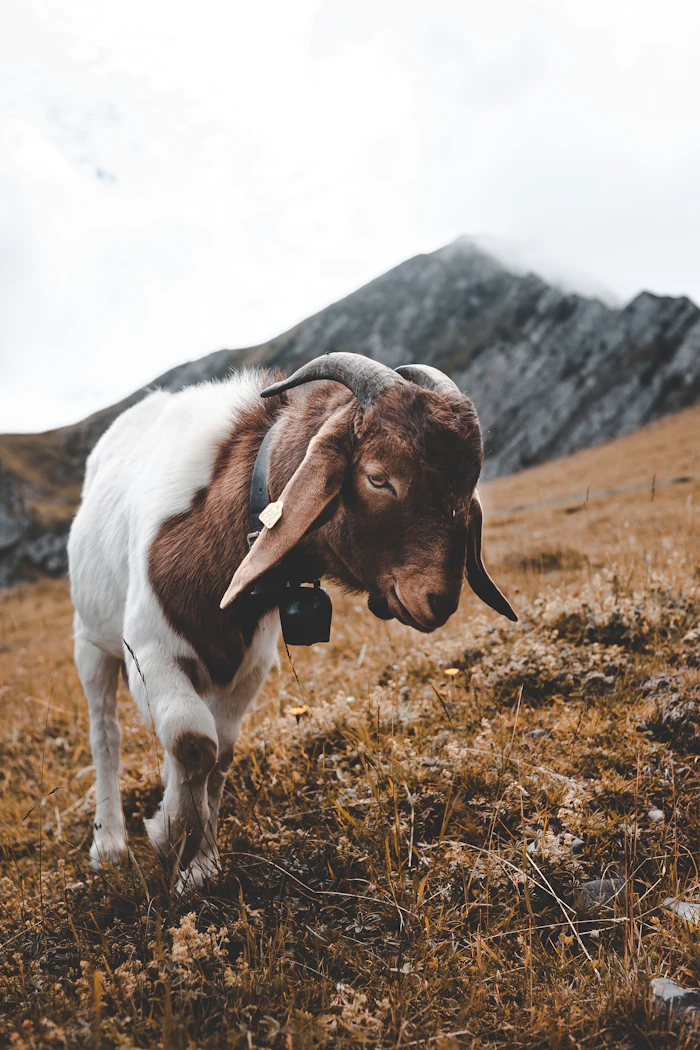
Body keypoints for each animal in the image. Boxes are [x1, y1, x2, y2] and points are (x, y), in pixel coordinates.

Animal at [68, 353, 516, 886]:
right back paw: (109, 844)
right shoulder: (149, 652)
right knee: (104, 735)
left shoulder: (250, 665)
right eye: (379, 477)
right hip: (91, 644)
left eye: (467, 485)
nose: (438, 599)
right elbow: (193, 741)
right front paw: (171, 834)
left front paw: (200, 862)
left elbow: (219, 751)